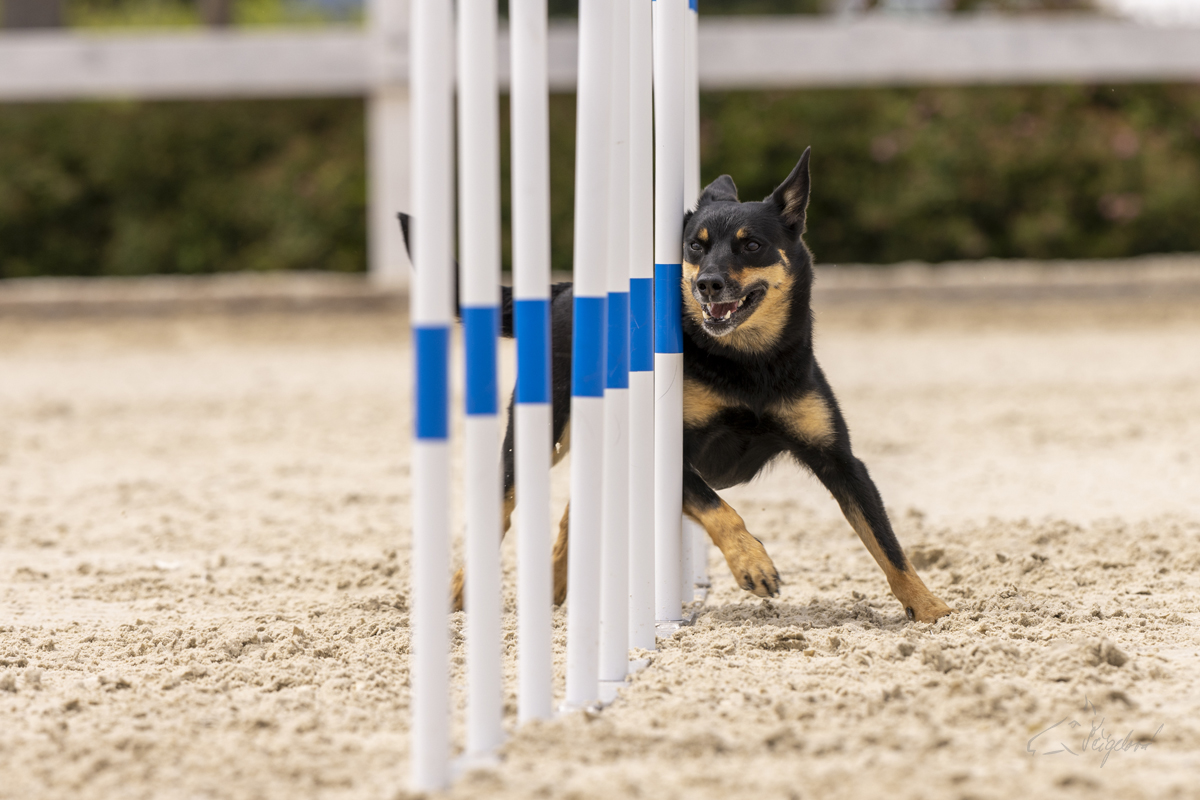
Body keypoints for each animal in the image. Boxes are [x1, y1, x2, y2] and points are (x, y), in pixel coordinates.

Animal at [398, 149, 950, 623]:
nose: (707, 283)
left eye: (752, 244)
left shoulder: (839, 459)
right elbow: (721, 510)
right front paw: (752, 562)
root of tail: (564, 291)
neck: (746, 363)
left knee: (570, 519)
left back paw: (557, 592)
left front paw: (928, 607)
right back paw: (459, 595)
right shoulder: (667, 454)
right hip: (537, 437)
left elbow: (887, 543)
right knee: (501, 511)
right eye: (694, 246)